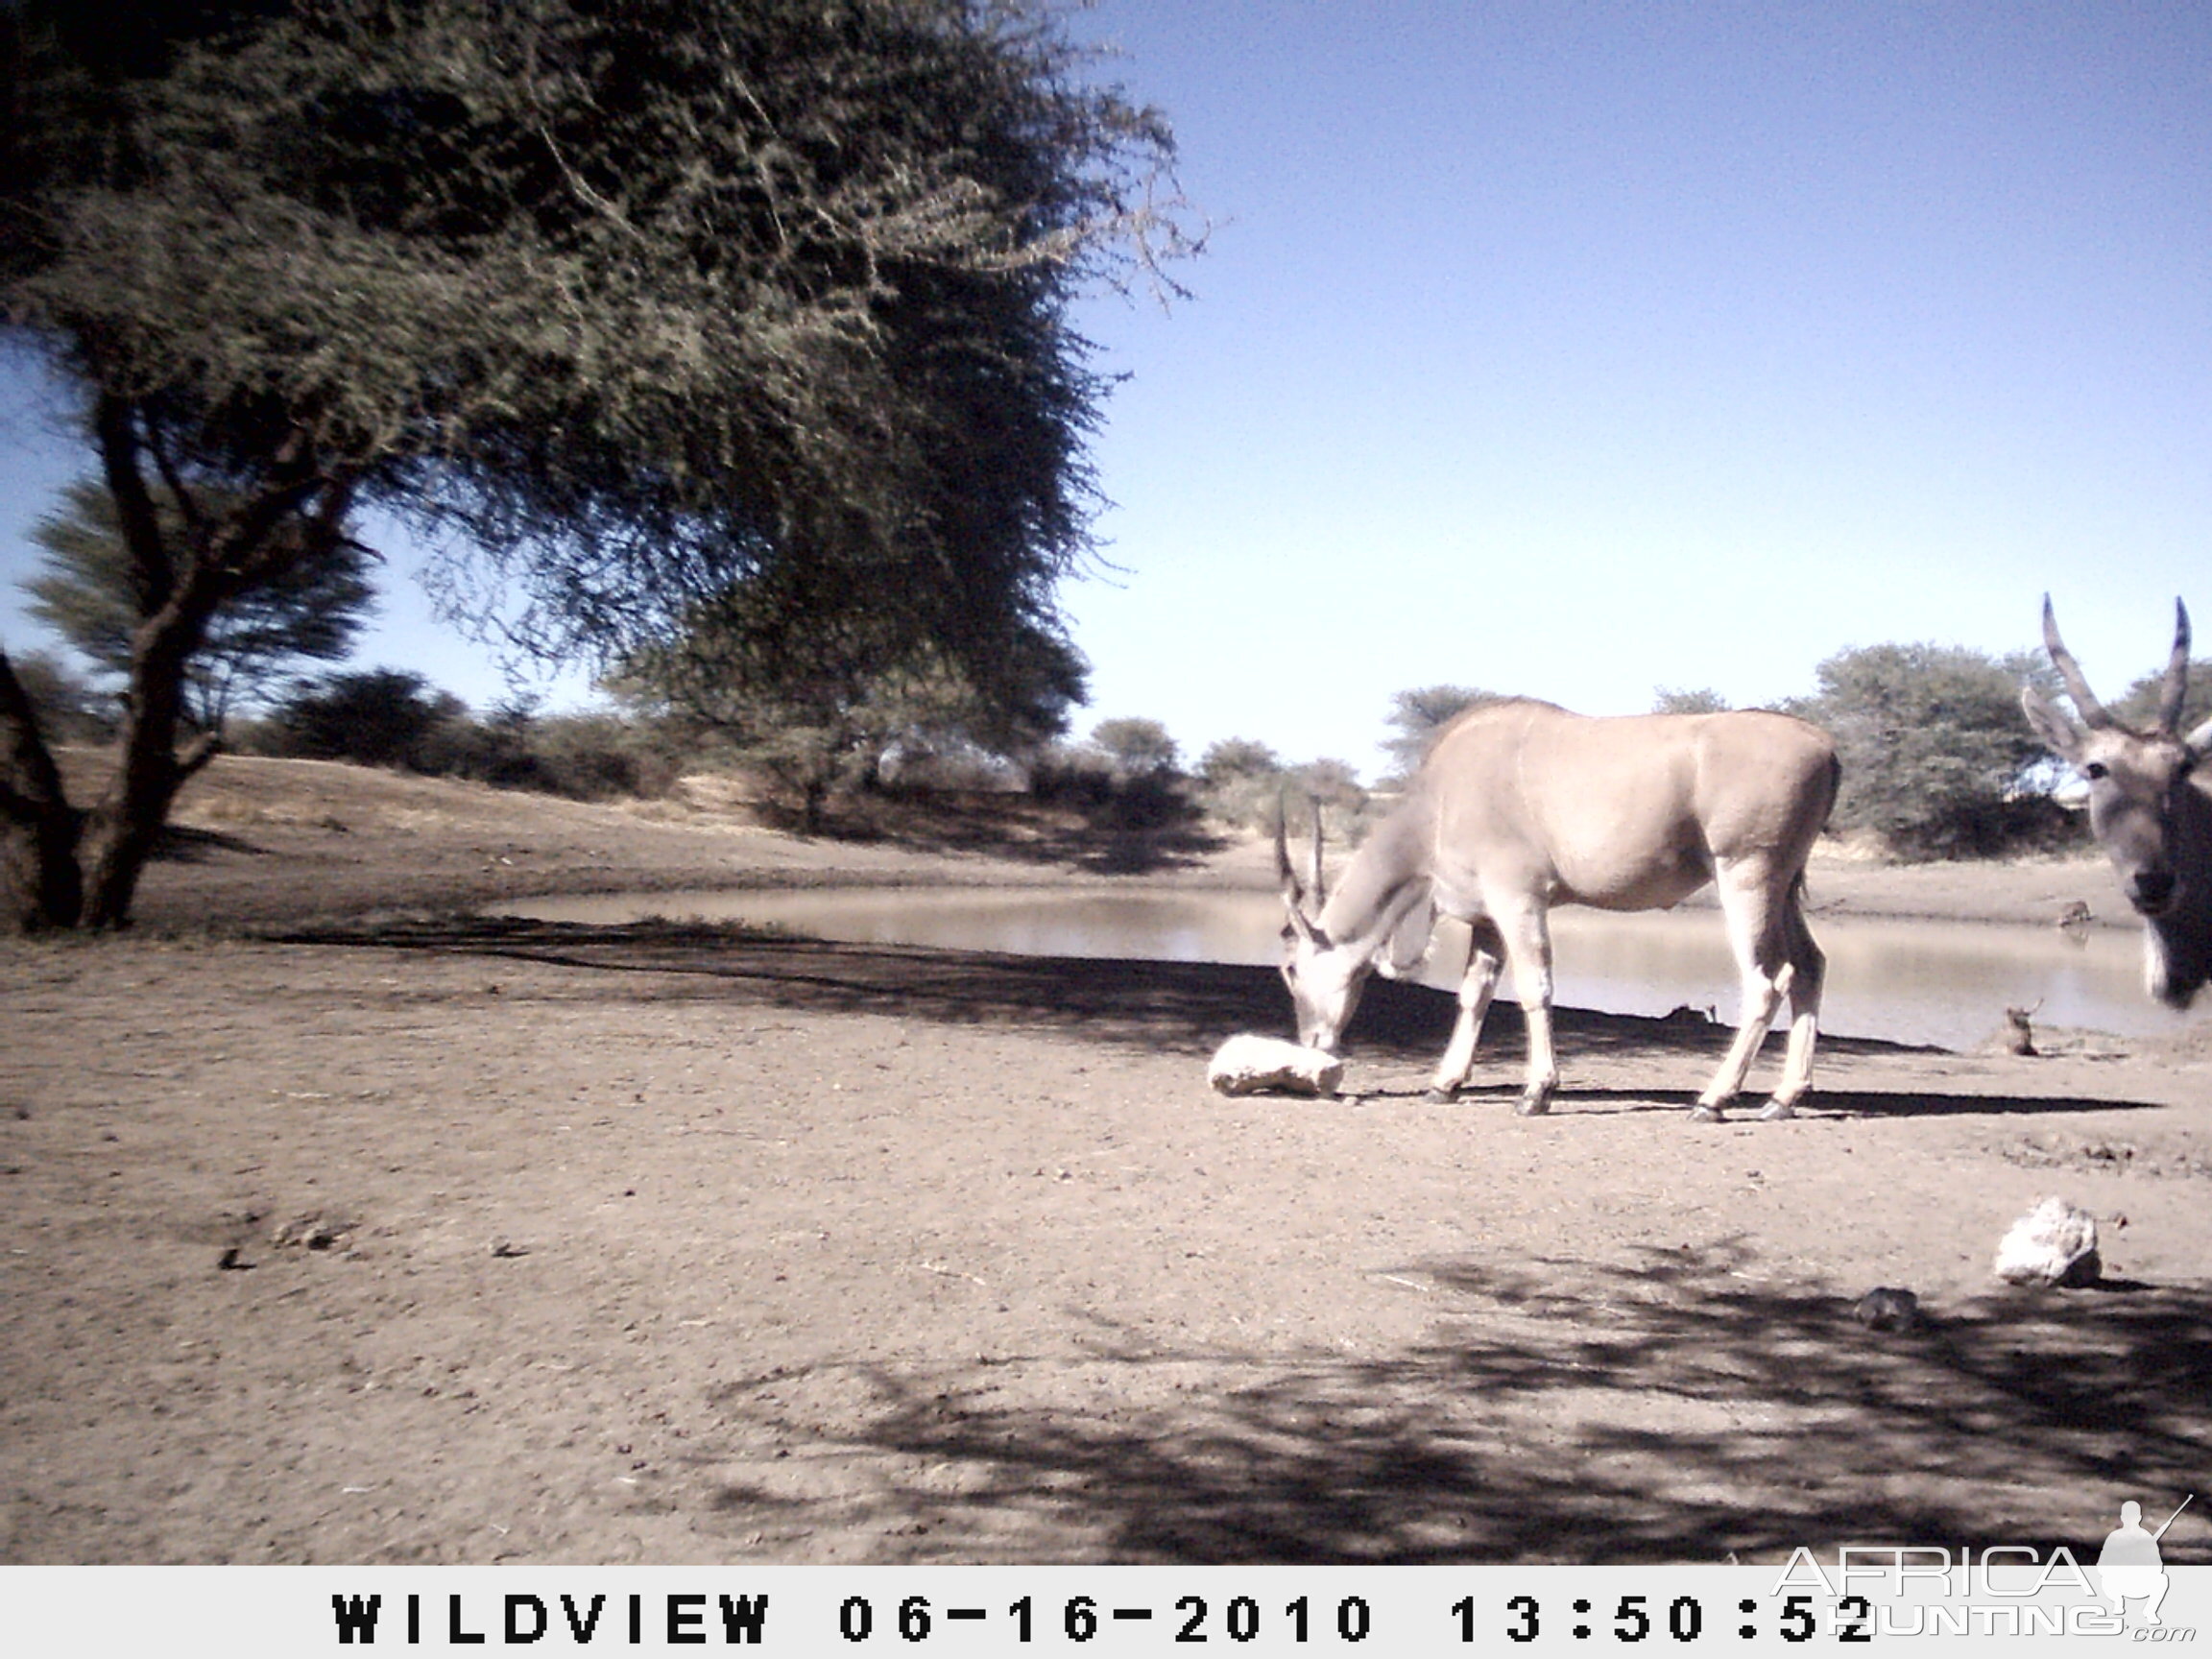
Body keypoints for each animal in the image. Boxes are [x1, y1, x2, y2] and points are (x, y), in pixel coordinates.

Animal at [1283, 703, 1831, 1132]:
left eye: (1290, 969)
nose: (1313, 1043)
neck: (1438, 802)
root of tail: (1824, 746)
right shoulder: (1488, 921)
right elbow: (1474, 994)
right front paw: (1445, 1083)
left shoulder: (1519, 899)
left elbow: (1535, 987)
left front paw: (1537, 1092)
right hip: (1782, 889)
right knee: (1810, 967)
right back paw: (1783, 1099)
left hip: (1745, 875)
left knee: (1767, 980)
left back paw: (1712, 1100)